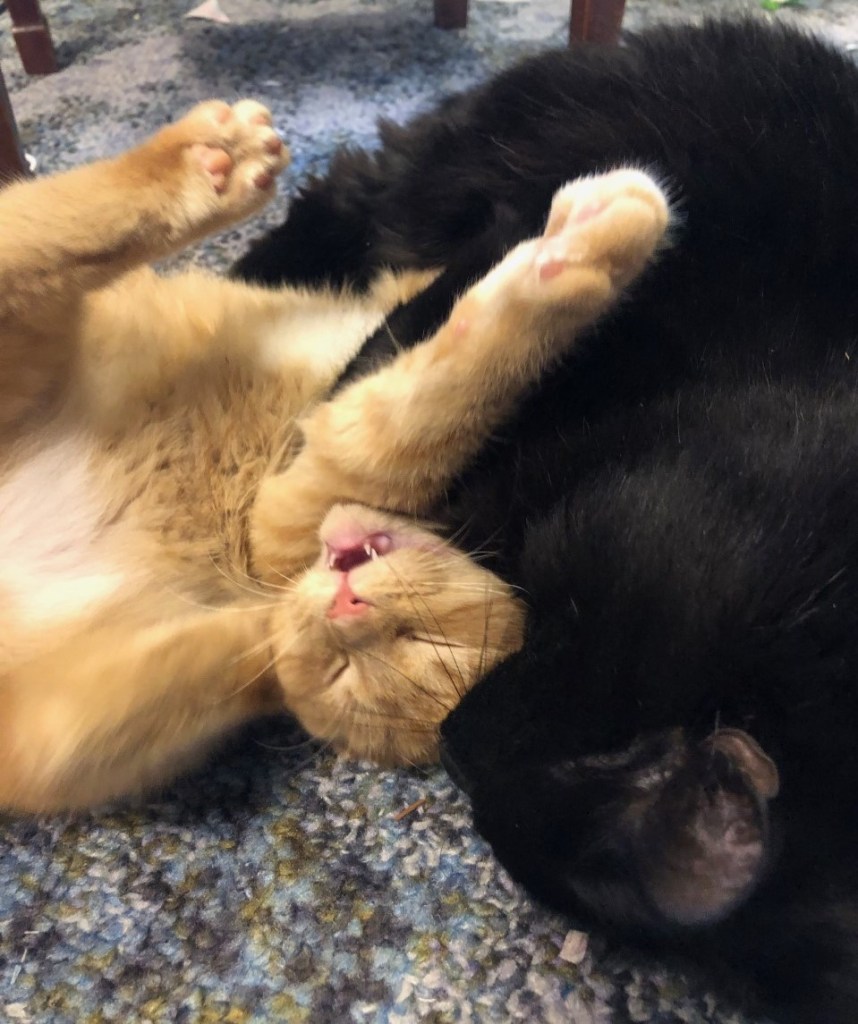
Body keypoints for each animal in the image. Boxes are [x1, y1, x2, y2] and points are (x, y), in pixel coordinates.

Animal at [0, 98, 672, 814]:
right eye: (353, 664)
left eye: (415, 643)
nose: (346, 609)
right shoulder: (288, 510)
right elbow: (427, 414)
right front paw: (580, 259)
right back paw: (214, 161)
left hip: (57, 735)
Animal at [233, 18, 858, 1024]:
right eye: (576, 616)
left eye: (549, 781)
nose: (460, 740)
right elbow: (393, 368)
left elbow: (368, 431)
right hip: (505, 139)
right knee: (359, 181)